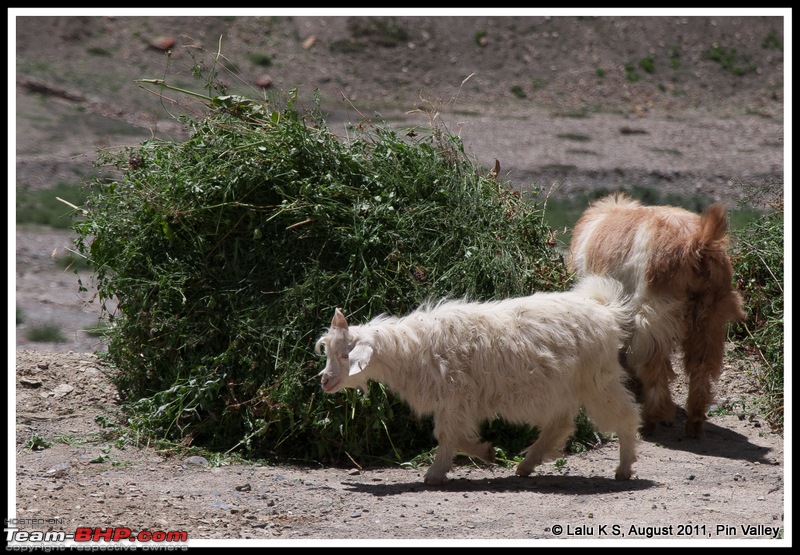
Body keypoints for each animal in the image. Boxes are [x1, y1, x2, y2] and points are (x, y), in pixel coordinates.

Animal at [316, 276, 640, 484]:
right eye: (327, 352)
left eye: (345, 354)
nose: (324, 381)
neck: (412, 349)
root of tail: (606, 312)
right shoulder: (456, 402)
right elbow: (454, 436)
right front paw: (488, 453)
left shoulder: (456, 398)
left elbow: (447, 436)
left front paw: (436, 473)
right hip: (563, 386)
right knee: (560, 423)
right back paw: (527, 464)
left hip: (597, 380)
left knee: (625, 415)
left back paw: (624, 468)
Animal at [568, 194, 744, 438]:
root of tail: (699, 243)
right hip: (712, 317)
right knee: (701, 367)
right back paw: (694, 423)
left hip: (652, 315)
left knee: (653, 367)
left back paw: (650, 420)